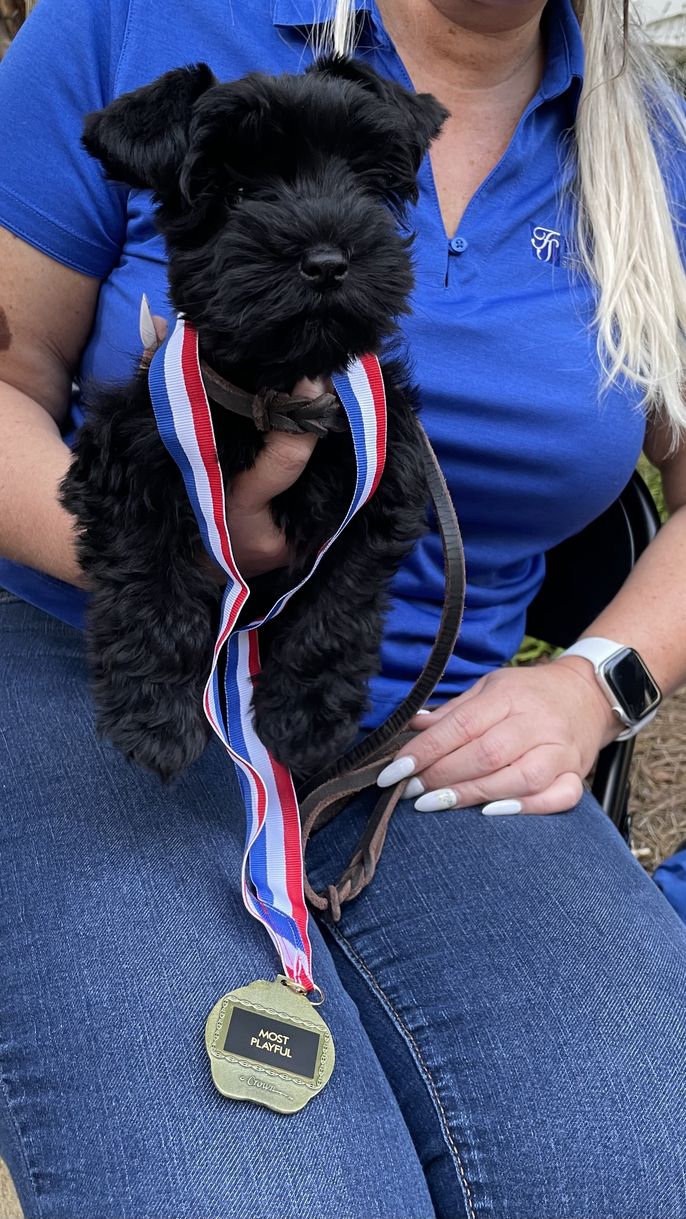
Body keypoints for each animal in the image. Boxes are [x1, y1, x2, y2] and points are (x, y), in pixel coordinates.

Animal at [60, 57, 448, 782]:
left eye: (363, 181)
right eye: (236, 190)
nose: (327, 262)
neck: (274, 393)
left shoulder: (379, 495)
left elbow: (337, 608)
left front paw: (306, 720)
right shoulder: (128, 463)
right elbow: (148, 580)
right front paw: (154, 717)